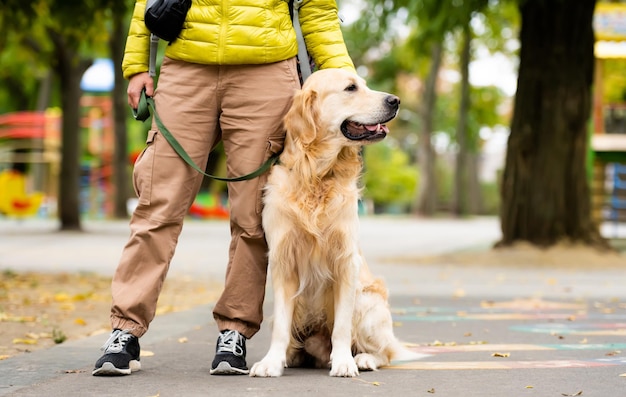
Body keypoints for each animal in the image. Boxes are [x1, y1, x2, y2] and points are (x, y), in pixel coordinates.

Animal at [249, 68, 420, 378]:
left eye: (364, 84)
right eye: (351, 88)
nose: (395, 100)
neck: (317, 174)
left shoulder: (346, 261)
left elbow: (341, 325)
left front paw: (343, 362)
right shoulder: (283, 260)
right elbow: (281, 327)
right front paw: (271, 361)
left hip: (368, 301)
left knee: (384, 353)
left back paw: (363, 358)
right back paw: (292, 357)